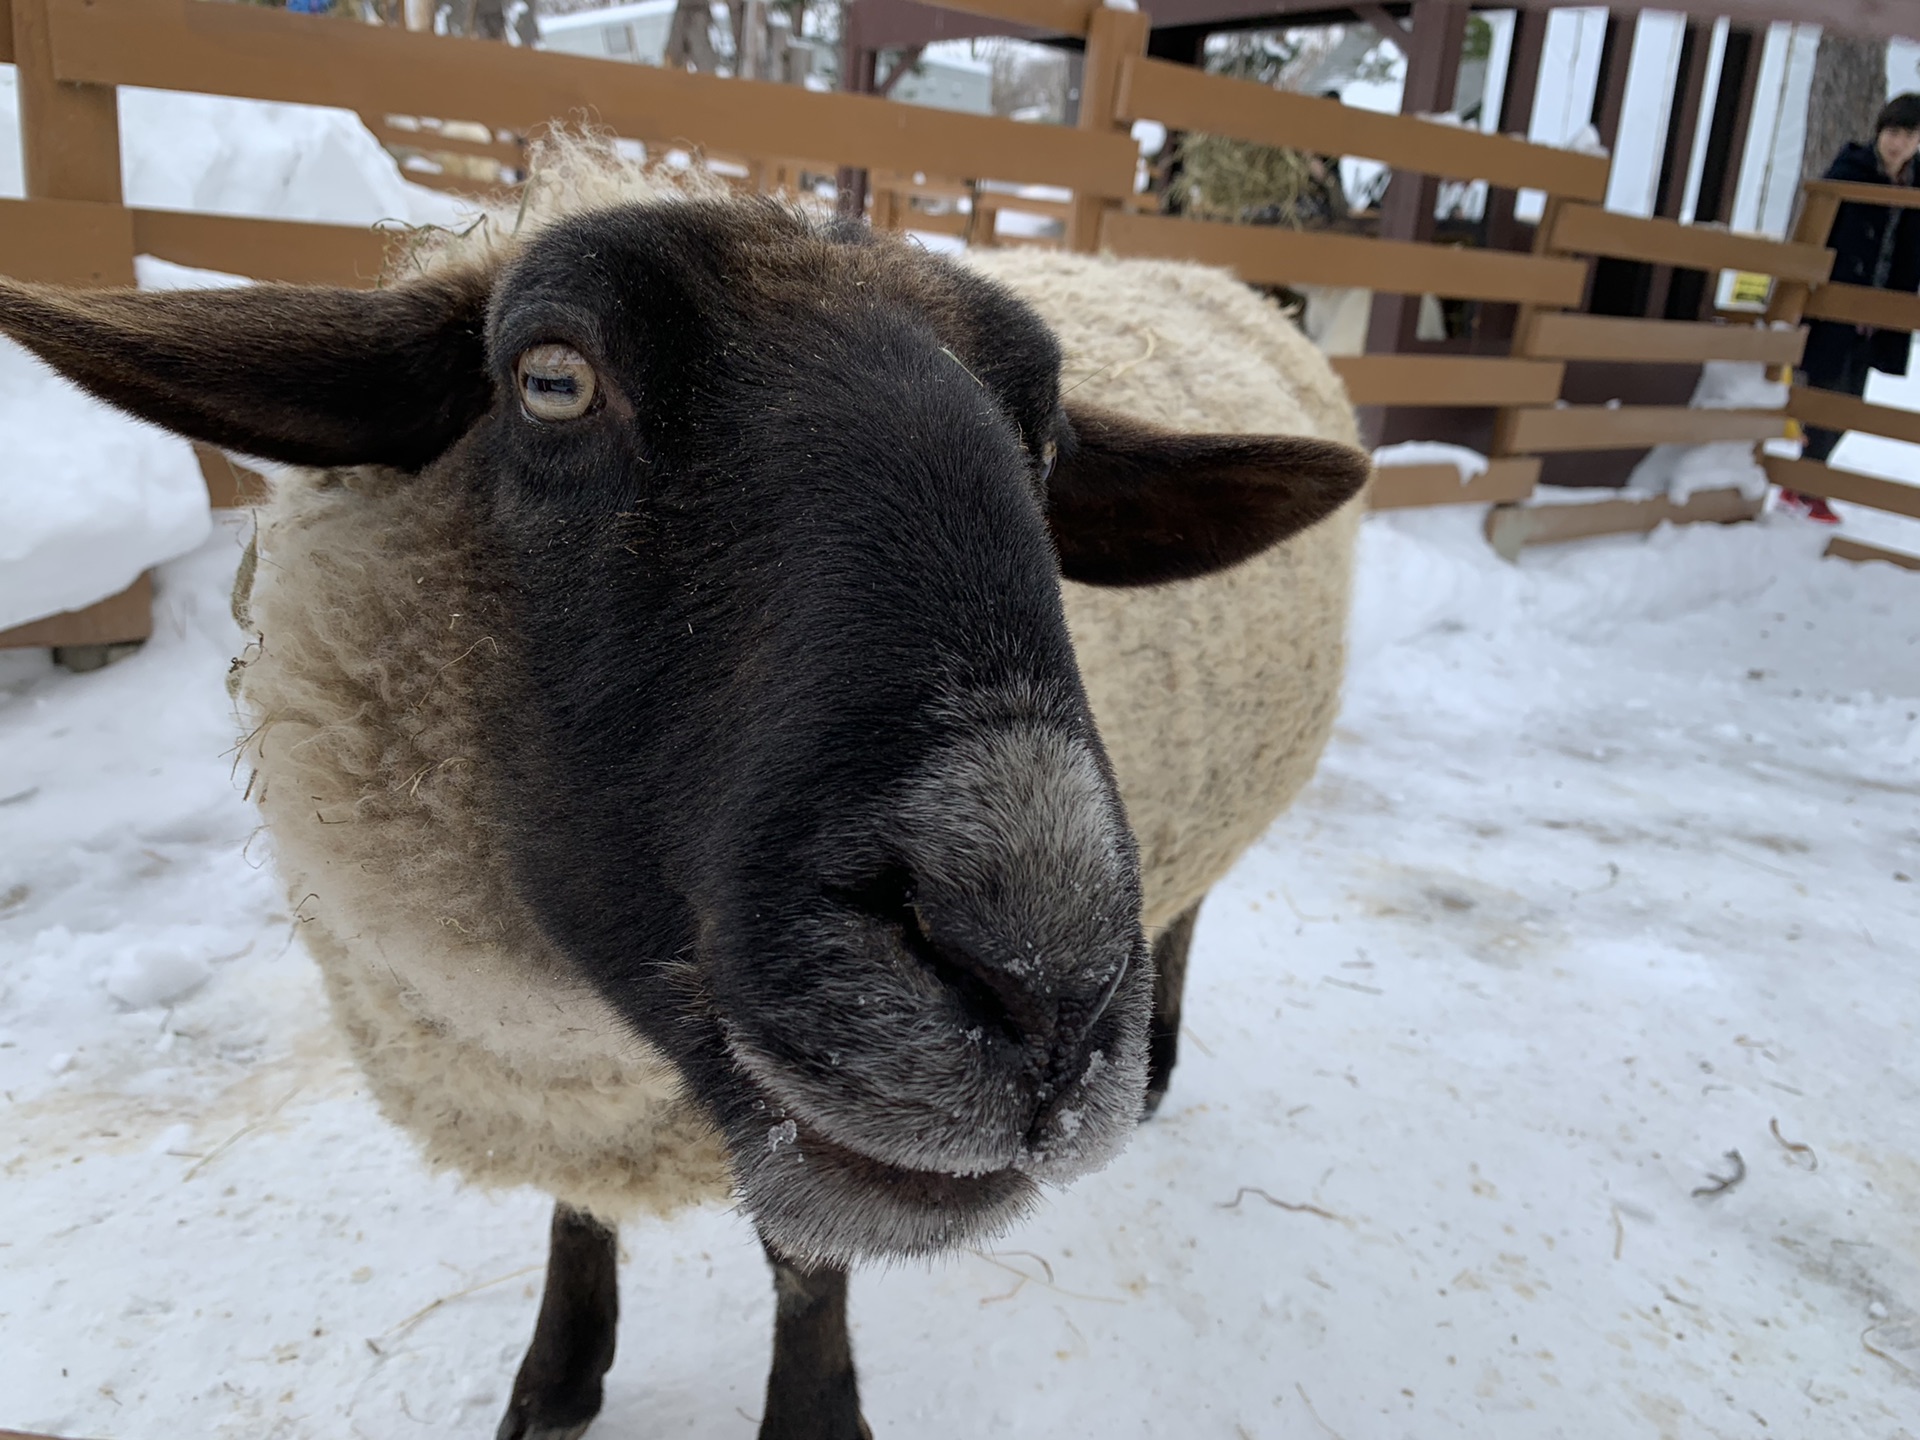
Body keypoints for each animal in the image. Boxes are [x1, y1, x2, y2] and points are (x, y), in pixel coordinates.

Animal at [3, 138, 1382, 1440]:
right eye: (551, 380)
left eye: (1045, 446)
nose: (1044, 986)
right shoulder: (574, 1093)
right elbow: (582, 1210)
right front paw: (558, 1377)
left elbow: (808, 1260)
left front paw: (813, 1412)